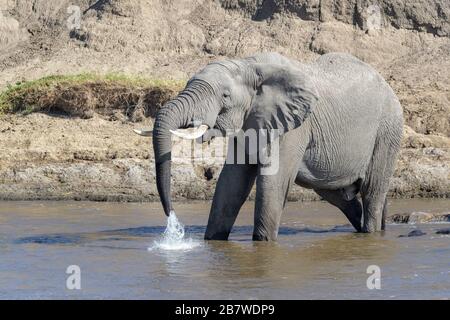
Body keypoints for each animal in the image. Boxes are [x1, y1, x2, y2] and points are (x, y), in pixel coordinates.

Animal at [135, 52, 402, 241]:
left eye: (225, 96)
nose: (171, 218)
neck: (247, 65)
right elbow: (231, 183)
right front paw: (213, 241)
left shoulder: (294, 127)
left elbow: (272, 182)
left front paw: (262, 243)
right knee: (336, 193)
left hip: (387, 131)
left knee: (372, 191)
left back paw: (372, 233)